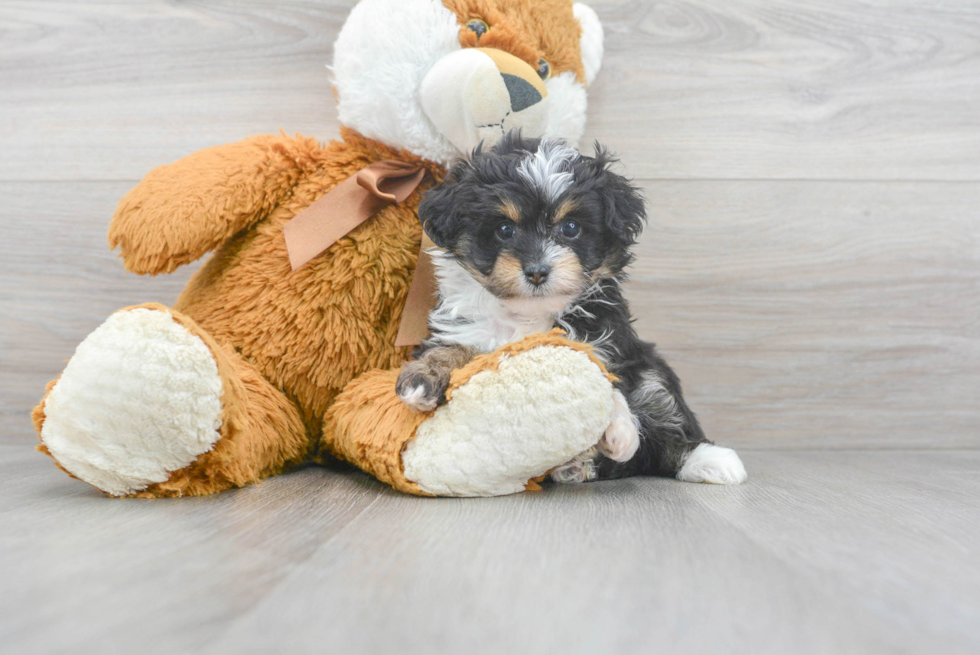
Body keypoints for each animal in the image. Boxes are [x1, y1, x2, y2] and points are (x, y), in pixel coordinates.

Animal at [394, 133, 748, 484]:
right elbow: (447, 349)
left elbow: (605, 377)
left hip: (652, 374)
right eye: (504, 229)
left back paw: (709, 459)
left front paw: (621, 433)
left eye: (571, 228)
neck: (529, 313)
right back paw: (576, 466)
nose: (537, 270)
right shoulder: (465, 329)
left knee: (666, 417)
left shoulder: (607, 338)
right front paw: (422, 379)